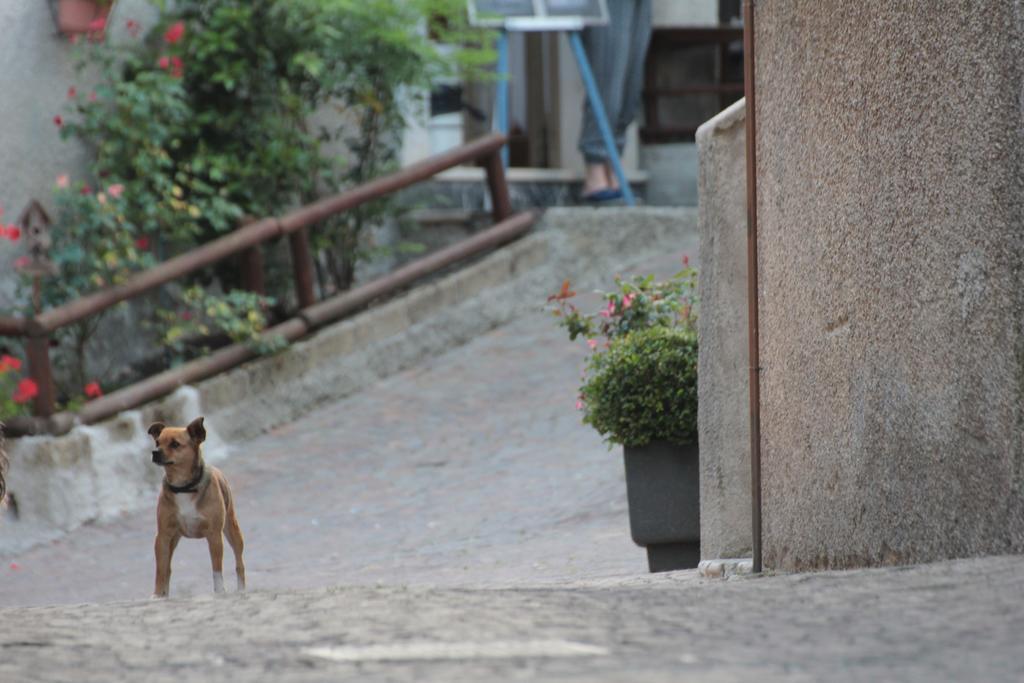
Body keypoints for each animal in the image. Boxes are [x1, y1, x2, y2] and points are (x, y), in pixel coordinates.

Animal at [146, 417, 243, 598]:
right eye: (157, 442)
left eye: (175, 444)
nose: (155, 452)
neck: (183, 487)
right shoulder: (162, 536)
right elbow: (161, 569)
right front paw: (157, 595)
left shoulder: (214, 535)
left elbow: (216, 568)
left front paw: (220, 590)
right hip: (173, 540)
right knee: (167, 568)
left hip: (233, 531)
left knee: (239, 562)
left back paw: (242, 589)